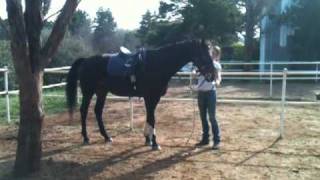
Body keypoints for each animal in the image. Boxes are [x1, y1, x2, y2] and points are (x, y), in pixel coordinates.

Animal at [66, 40, 216, 150]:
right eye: (204, 55)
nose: (213, 75)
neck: (157, 64)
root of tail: (86, 60)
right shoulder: (150, 97)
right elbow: (152, 119)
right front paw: (154, 143)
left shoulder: (154, 98)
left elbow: (150, 117)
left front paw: (148, 139)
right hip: (88, 92)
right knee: (84, 111)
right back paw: (86, 138)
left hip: (102, 92)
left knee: (98, 111)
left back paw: (107, 137)